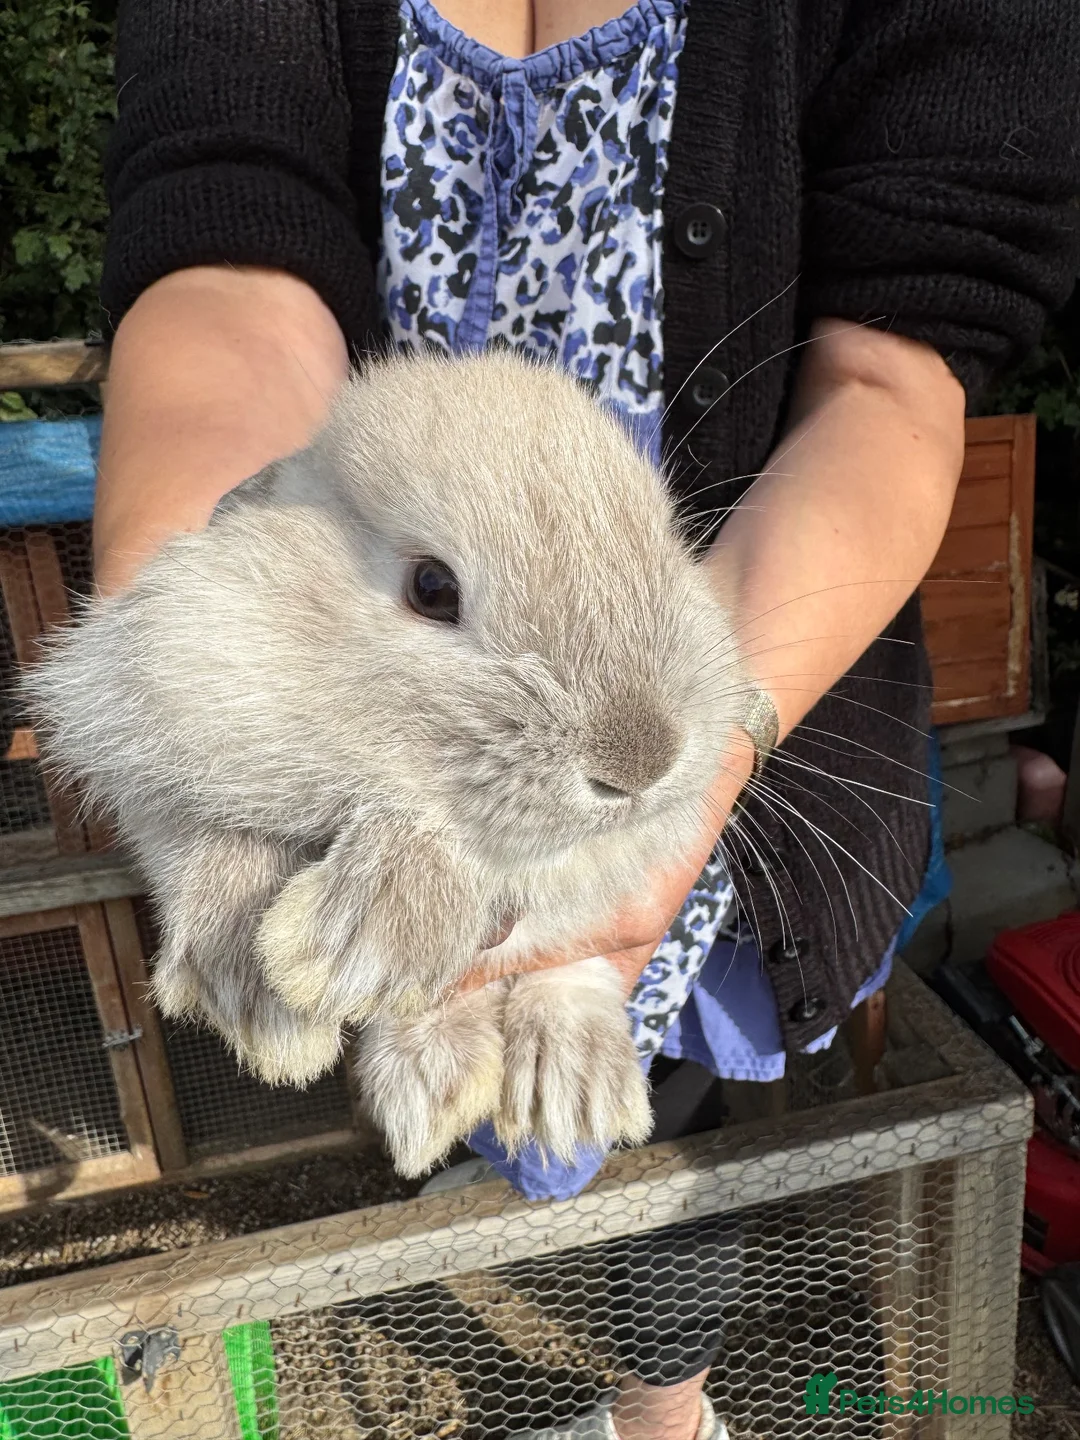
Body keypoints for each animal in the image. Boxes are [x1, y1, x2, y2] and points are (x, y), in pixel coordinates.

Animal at [26, 348, 748, 1177]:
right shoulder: (147, 718)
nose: (640, 765)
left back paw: (559, 1088)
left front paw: (351, 942)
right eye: (431, 588)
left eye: (666, 547)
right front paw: (261, 1002)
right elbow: (205, 839)